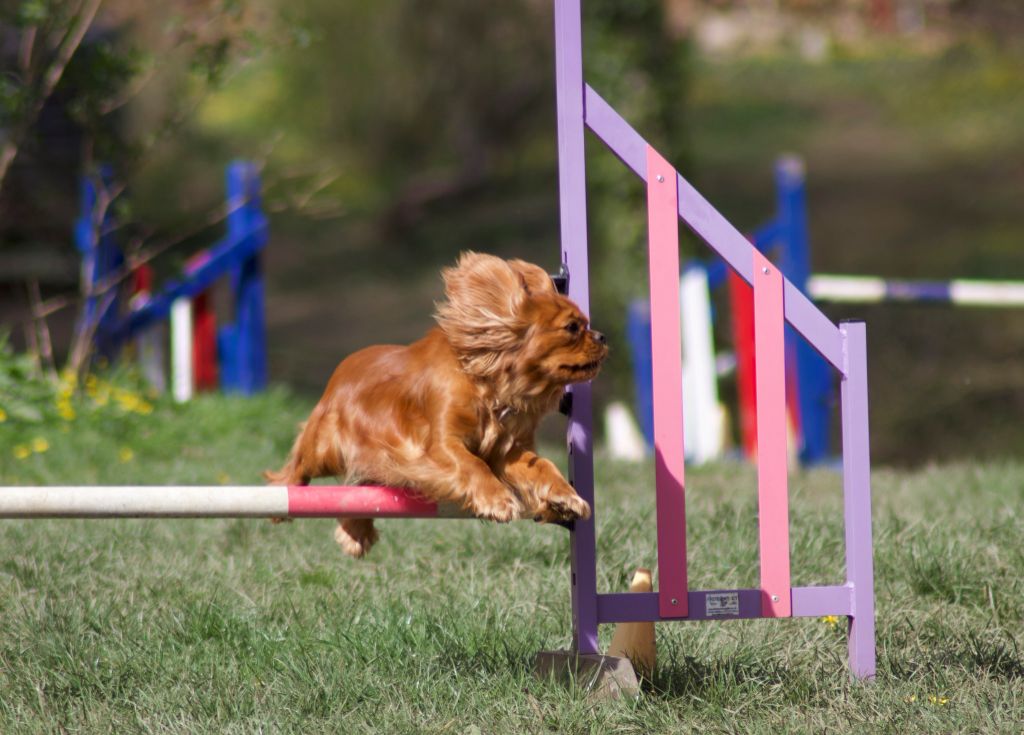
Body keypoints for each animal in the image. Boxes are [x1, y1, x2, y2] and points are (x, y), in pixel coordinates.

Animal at [266, 253, 606, 556]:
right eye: (572, 328)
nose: (602, 336)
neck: (488, 387)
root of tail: (340, 370)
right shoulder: (441, 446)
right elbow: (474, 464)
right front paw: (497, 501)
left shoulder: (509, 452)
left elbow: (543, 466)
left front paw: (565, 497)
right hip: (325, 447)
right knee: (298, 467)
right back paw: (281, 502)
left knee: (364, 490)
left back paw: (356, 532)